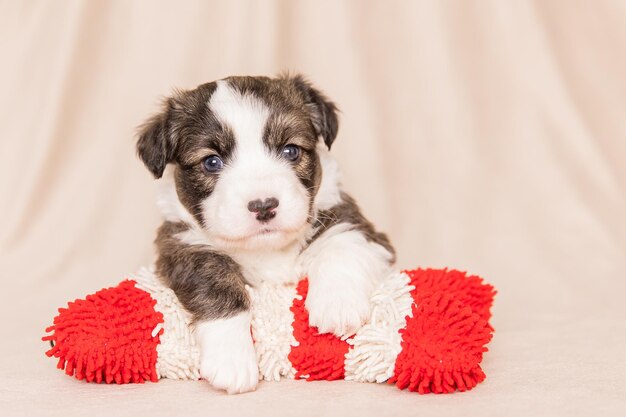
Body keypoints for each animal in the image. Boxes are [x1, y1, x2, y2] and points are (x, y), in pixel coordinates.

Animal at [136, 75, 392, 394]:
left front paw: (337, 304)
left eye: (291, 151)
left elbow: (342, 244)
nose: (263, 206)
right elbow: (215, 281)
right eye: (211, 162)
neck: (267, 249)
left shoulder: (359, 226)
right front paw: (231, 359)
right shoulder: (180, 246)